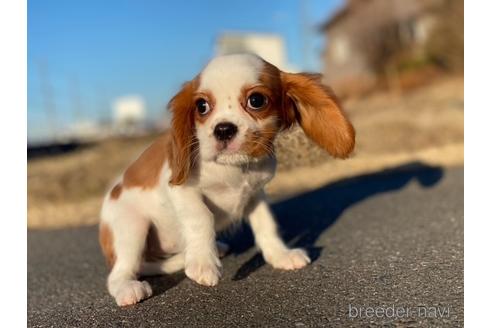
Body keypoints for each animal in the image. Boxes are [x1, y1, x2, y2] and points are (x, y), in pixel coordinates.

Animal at [99, 52, 354, 306]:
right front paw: (203, 263)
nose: (223, 129)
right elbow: (202, 216)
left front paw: (280, 255)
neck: (233, 167)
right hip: (131, 227)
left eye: (256, 100)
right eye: (201, 106)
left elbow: (266, 224)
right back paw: (129, 288)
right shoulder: (181, 190)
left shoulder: (255, 194)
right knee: (120, 272)